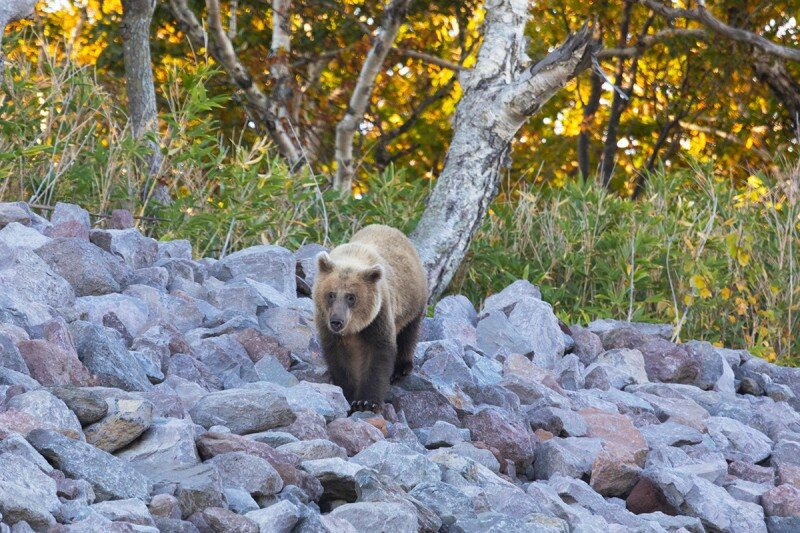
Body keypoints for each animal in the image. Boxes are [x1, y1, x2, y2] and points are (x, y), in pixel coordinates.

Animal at [310, 223, 428, 412]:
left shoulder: (378, 316)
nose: (336, 321)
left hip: (413, 301)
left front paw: (366, 402)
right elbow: (339, 361)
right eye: (331, 294)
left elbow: (379, 354)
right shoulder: (326, 326)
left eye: (351, 297)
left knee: (409, 333)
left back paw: (401, 368)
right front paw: (349, 395)